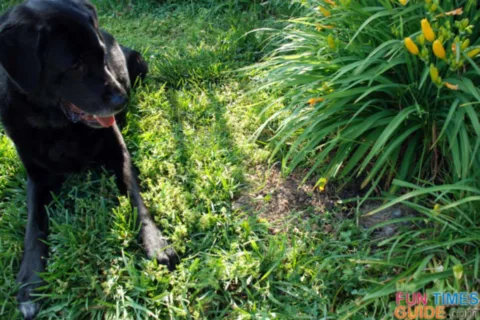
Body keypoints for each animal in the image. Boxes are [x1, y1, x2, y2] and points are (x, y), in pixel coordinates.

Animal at [0, 0, 178, 318]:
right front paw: (30, 280)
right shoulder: (36, 177)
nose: (122, 100)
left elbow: (137, 199)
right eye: (74, 64)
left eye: (101, 55)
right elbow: (34, 226)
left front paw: (155, 243)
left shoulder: (119, 154)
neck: (58, 127)